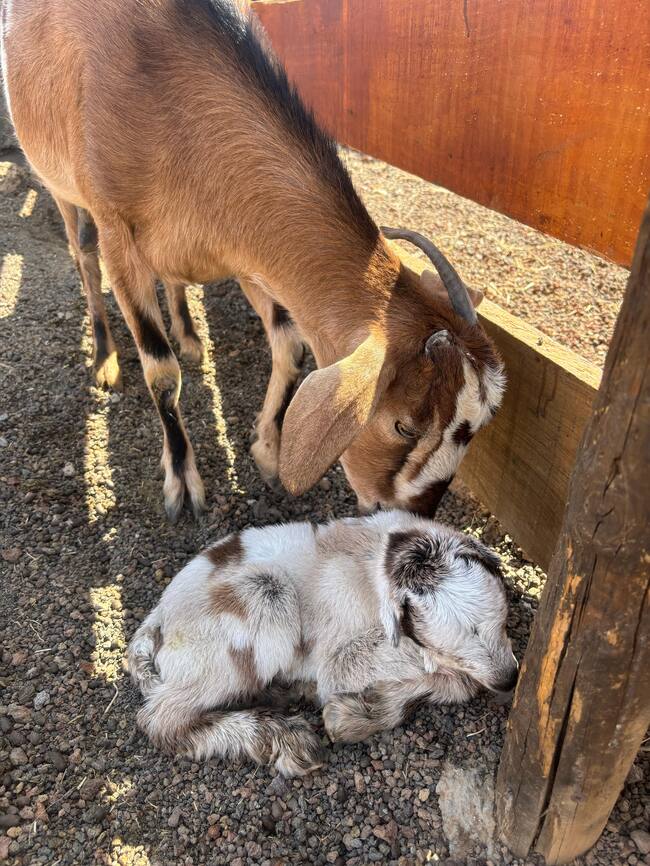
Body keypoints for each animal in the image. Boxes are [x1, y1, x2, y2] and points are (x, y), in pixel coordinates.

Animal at [1, 0, 505, 521]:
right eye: (405, 426)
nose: (414, 515)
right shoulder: (117, 229)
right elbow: (160, 371)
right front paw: (183, 482)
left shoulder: (247, 254)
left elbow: (291, 344)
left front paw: (267, 452)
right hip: (64, 192)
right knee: (84, 259)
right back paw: (105, 357)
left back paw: (189, 335)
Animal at [128, 511, 518, 776]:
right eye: (439, 645)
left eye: (500, 621)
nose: (510, 679)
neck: (378, 560)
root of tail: (159, 617)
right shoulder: (341, 659)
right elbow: (455, 679)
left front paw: (355, 713)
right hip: (262, 595)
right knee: (160, 720)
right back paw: (283, 737)